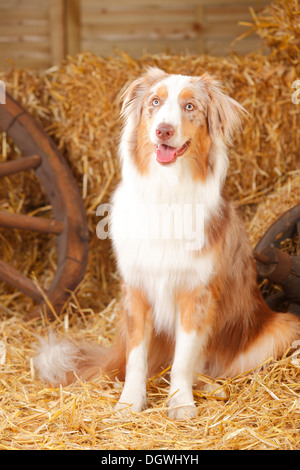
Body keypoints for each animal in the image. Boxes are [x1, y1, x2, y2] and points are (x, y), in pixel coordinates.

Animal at [33, 68, 300, 420]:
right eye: (155, 102)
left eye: (190, 106)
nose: (163, 130)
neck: (167, 188)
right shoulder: (136, 290)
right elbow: (136, 359)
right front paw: (129, 403)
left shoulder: (196, 294)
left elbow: (183, 359)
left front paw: (181, 403)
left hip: (283, 326)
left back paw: (214, 388)